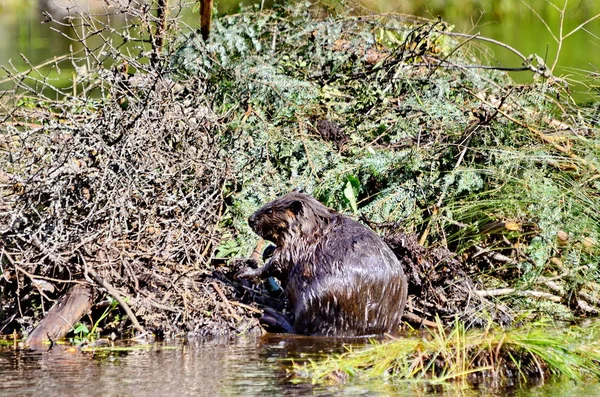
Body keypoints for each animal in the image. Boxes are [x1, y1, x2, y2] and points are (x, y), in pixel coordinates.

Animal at [236, 192, 408, 338]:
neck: (313, 225)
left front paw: (244, 272)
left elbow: (277, 263)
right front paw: (267, 250)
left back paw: (270, 315)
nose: (250, 219)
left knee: (300, 329)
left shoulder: (299, 244)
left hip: (316, 298)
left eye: (270, 211)